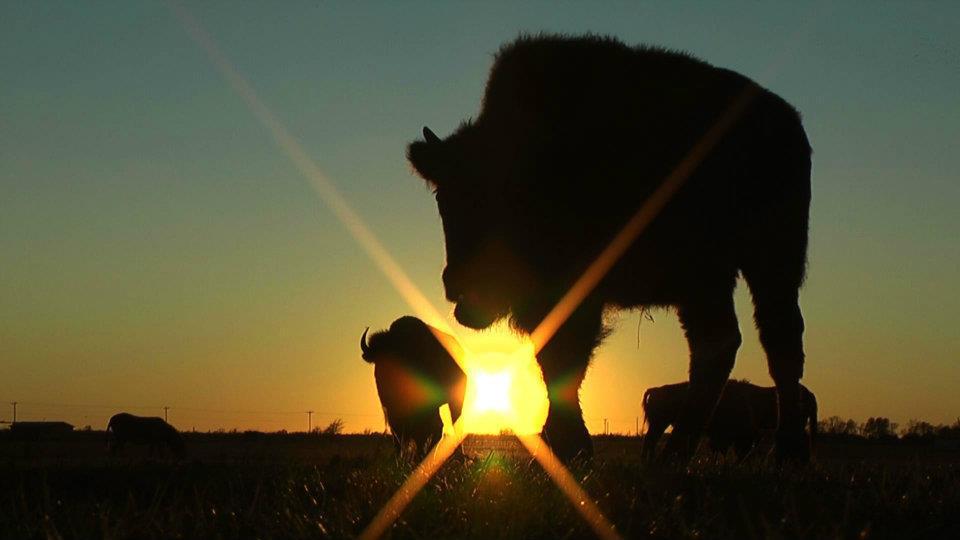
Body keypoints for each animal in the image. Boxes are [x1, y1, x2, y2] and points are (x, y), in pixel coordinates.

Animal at [360, 316, 468, 456]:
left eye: (400, 355)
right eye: (379, 359)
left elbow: (421, 431)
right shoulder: (390, 408)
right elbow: (398, 432)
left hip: (455, 401)